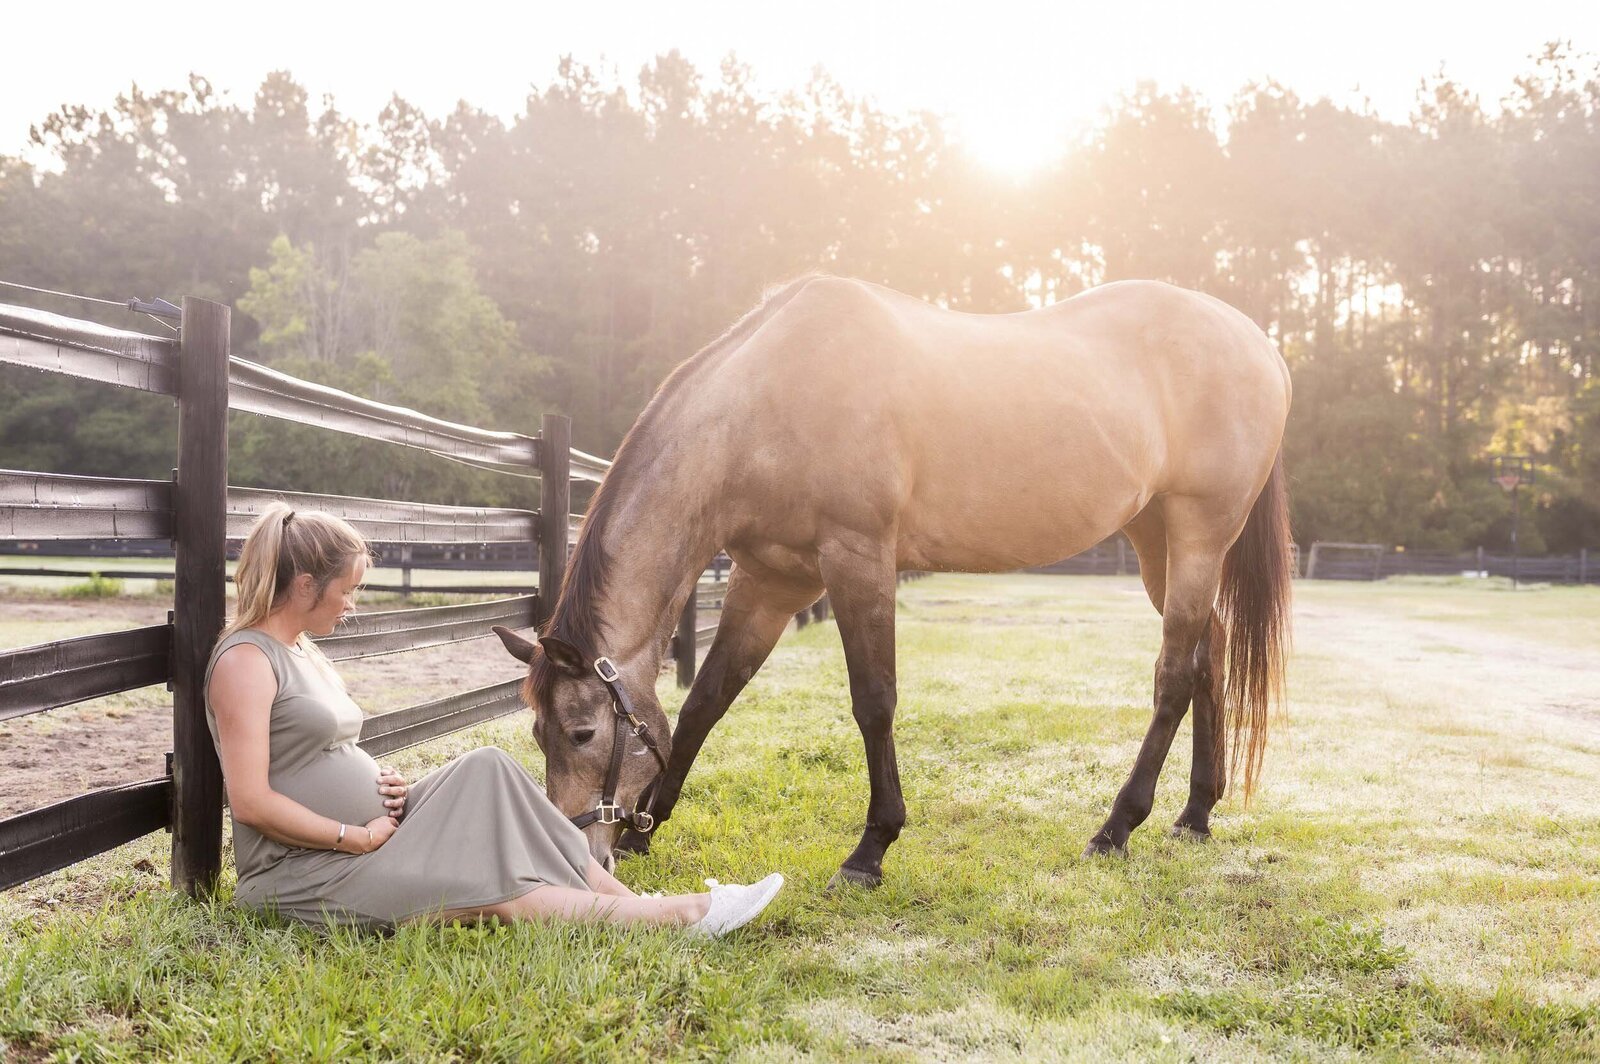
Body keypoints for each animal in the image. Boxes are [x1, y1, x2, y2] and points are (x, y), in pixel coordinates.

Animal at [492, 275, 1292, 889]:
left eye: (582, 731)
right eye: (537, 733)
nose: (581, 857)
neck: (767, 402)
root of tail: (1262, 348)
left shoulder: (858, 559)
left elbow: (873, 701)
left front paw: (870, 850)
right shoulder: (771, 579)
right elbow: (706, 702)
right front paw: (646, 830)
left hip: (1198, 532)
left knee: (1173, 675)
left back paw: (1117, 827)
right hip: (1159, 539)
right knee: (1210, 654)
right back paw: (1195, 815)